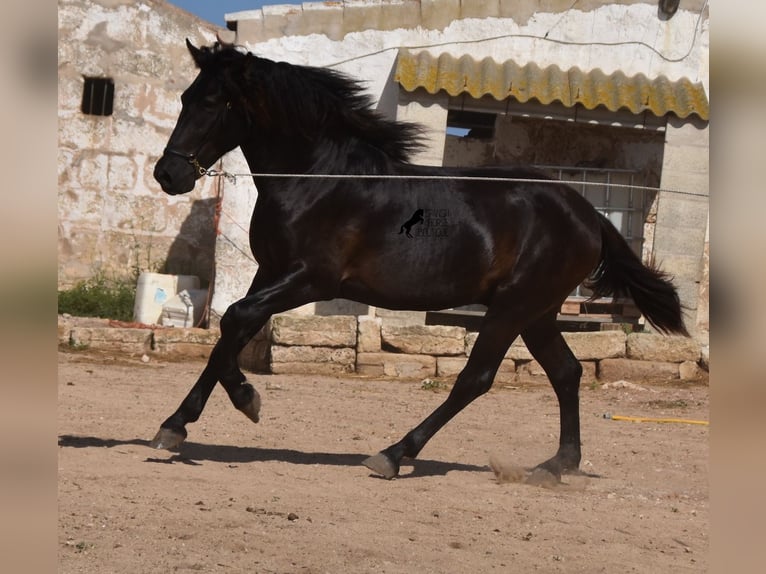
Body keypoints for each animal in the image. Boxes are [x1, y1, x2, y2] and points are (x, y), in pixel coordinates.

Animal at [152, 41, 688, 482]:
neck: (319, 179)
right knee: (568, 373)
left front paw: (246, 401)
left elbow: (236, 319)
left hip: (513, 307)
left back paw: (393, 454)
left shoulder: (311, 279)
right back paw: (559, 465)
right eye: (184, 97)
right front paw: (175, 425)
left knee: (476, 379)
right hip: (537, 312)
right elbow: (231, 330)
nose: (167, 174)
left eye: (212, 103)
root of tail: (589, 215)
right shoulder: (270, 272)